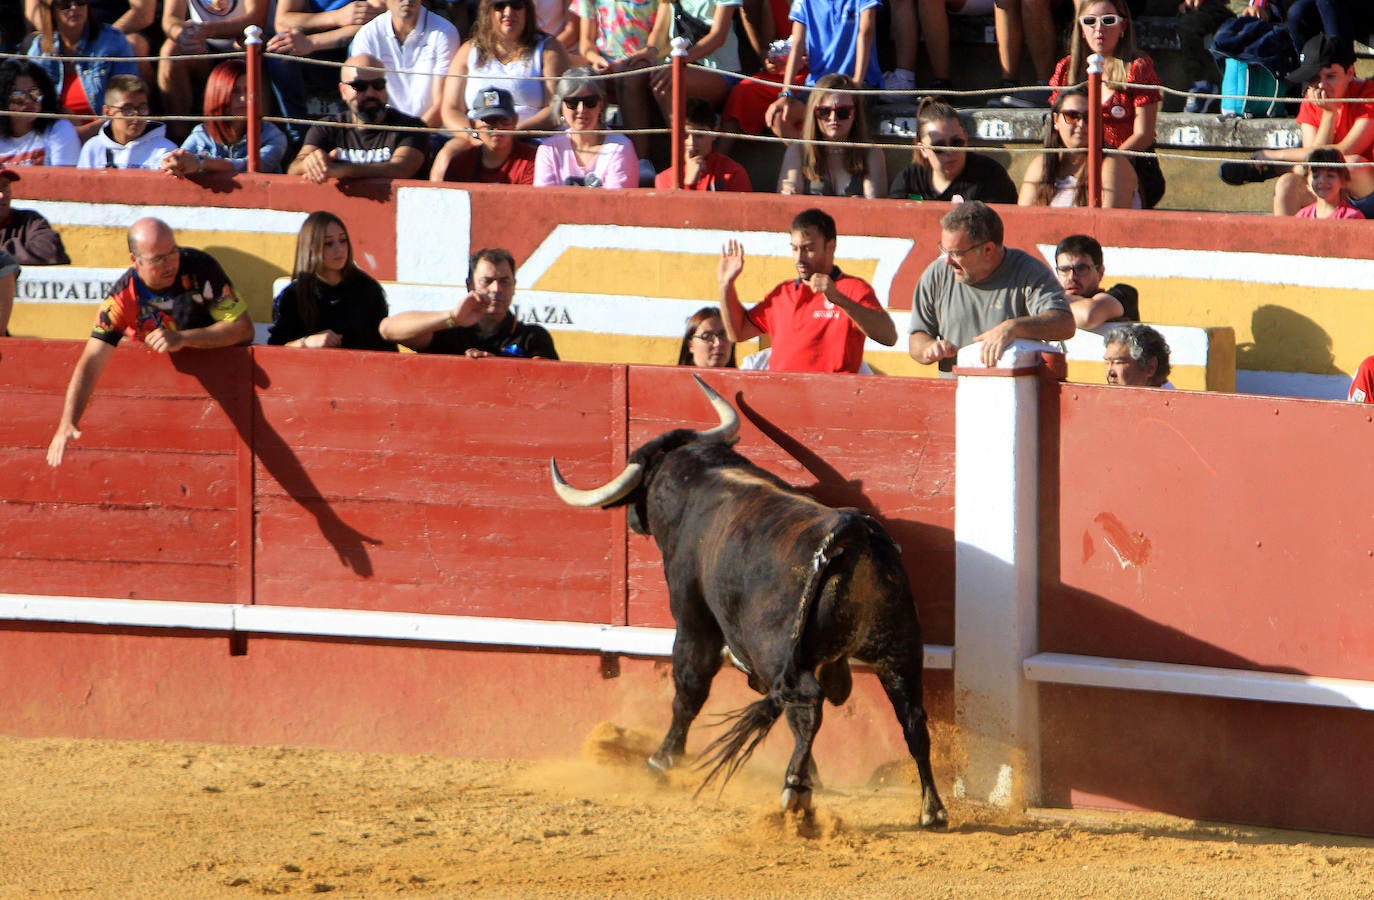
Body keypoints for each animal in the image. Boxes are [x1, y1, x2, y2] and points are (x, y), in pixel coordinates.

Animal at [546, 376, 945, 829]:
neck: (703, 476)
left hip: (782, 649)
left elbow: (689, 687)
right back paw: (931, 809)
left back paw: (795, 790)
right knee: (910, 716)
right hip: (898, 647)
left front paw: (663, 760)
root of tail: (852, 533)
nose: (632, 521)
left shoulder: (693, 619)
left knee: (806, 704)